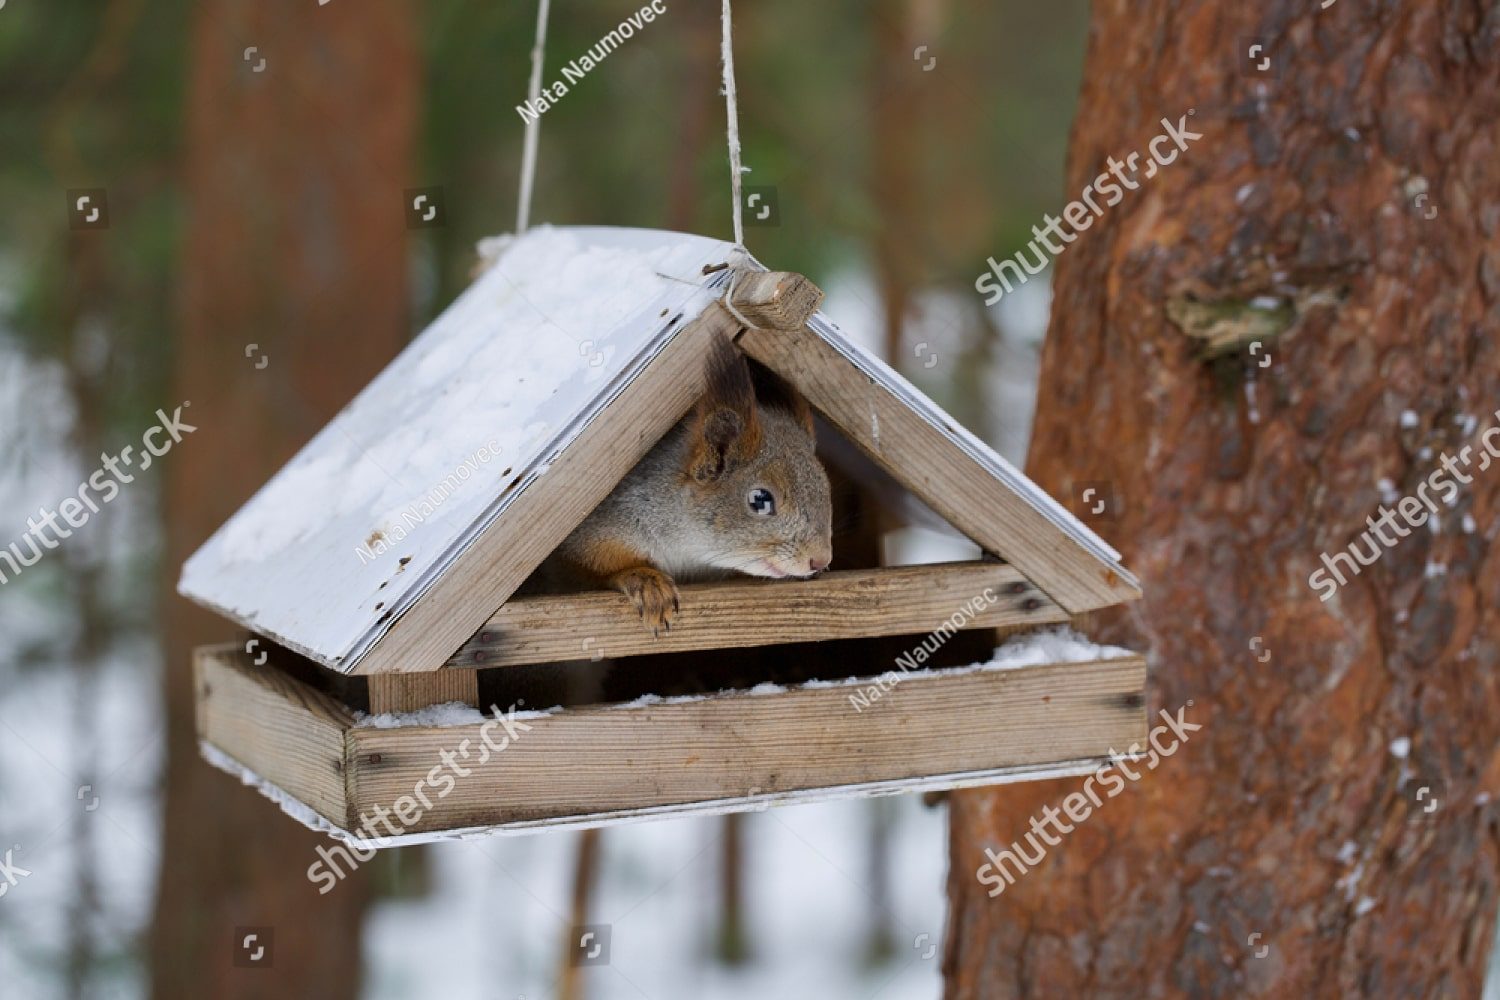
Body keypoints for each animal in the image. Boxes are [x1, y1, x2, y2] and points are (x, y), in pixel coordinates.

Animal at [555, 336, 833, 635]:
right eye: (760, 500)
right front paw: (646, 582)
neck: (688, 549)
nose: (821, 560)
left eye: (825, 488)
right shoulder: (595, 532)